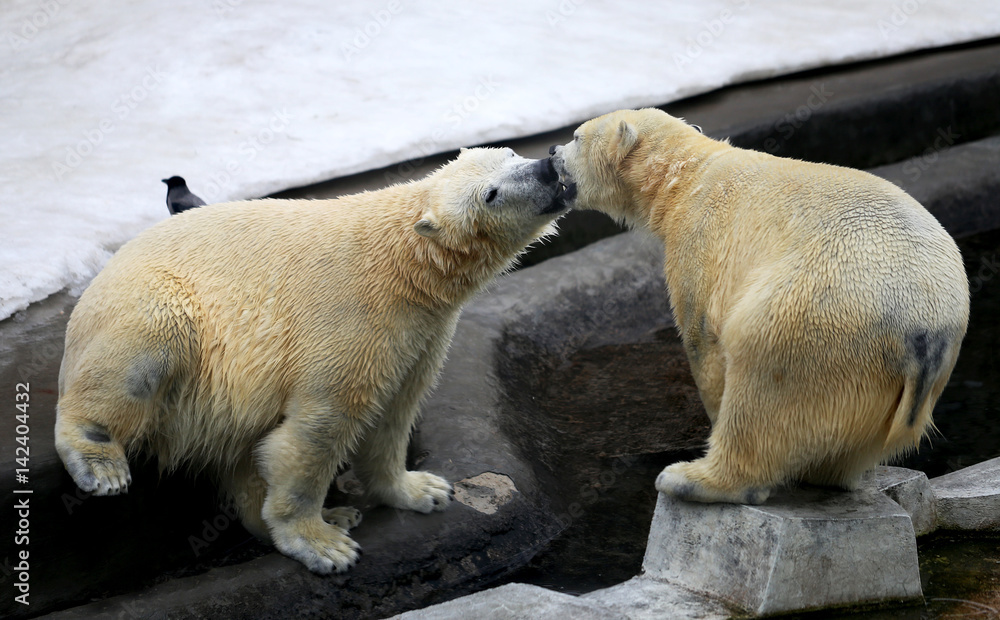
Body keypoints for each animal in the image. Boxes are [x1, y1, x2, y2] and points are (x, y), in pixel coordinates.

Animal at [54, 148, 572, 572]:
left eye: (510, 154)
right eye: (491, 194)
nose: (549, 166)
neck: (404, 264)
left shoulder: (422, 333)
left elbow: (394, 412)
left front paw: (423, 491)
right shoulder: (350, 320)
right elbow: (318, 429)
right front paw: (322, 546)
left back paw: (336, 513)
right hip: (158, 308)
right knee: (139, 356)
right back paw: (100, 462)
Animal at [552, 109, 972, 506]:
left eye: (576, 136)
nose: (553, 152)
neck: (684, 177)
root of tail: (925, 331)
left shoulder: (700, 240)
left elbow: (702, 338)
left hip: (813, 316)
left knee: (759, 379)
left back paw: (691, 478)